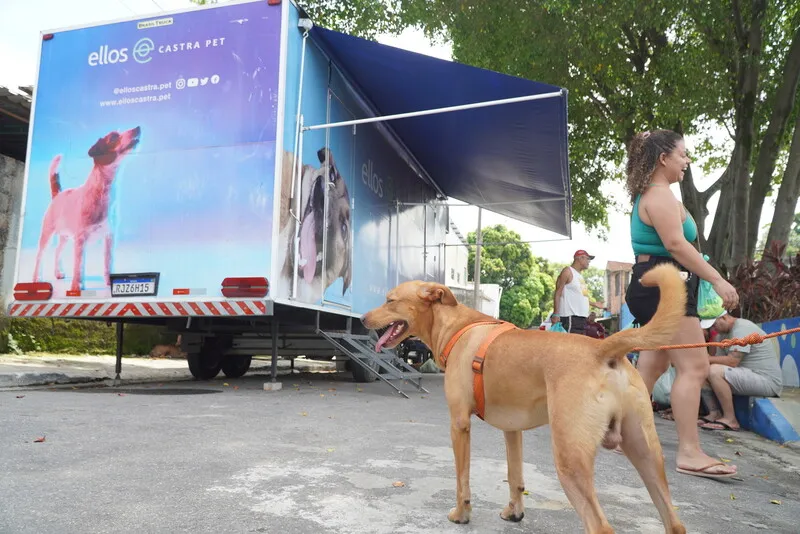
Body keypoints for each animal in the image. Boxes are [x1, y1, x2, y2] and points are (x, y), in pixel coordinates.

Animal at [362, 264, 688, 534]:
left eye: (390, 300)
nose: (363, 318)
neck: (457, 326)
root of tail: (603, 348)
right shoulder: (512, 431)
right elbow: (515, 476)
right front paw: (514, 512)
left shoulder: (459, 424)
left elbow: (462, 479)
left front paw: (461, 514)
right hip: (646, 453)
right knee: (675, 524)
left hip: (571, 460)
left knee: (600, 526)